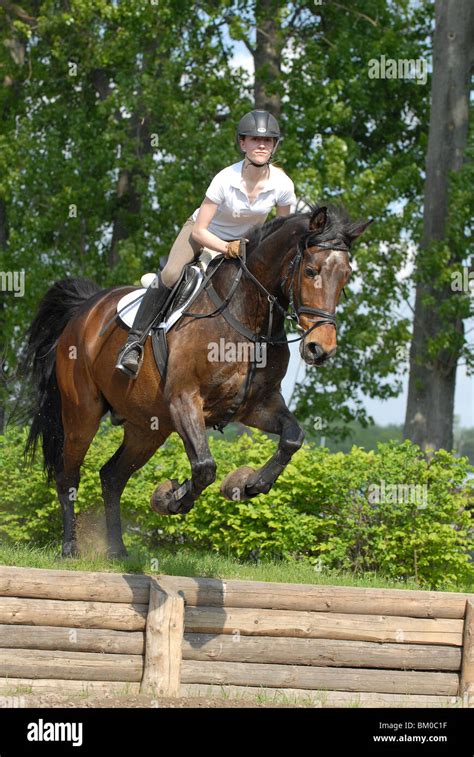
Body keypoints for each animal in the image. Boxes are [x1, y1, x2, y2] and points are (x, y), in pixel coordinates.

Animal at [22, 204, 370, 560]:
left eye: (346, 276)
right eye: (311, 271)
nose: (320, 349)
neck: (248, 316)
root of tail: (86, 309)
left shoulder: (258, 406)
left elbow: (292, 438)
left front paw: (249, 485)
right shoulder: (184, 399)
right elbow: (204, 466)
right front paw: (170, 499)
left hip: (148, 427)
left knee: (112, 477)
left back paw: (117, 549)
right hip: (83, 413)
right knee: (69, 475)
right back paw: (70, 547)